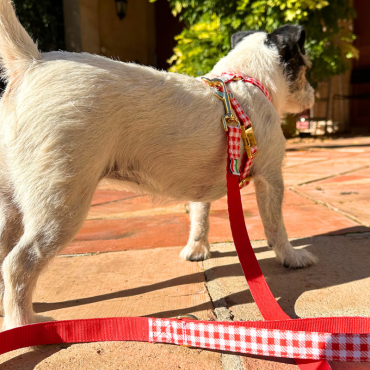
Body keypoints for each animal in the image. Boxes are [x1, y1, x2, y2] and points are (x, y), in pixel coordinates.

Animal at [0, 0, 316, 330]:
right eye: (306, 68)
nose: (313, 95)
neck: (244, 79)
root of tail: (30, 62)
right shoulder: (271, 177)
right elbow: (276, 225)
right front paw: (291, 256)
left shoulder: (204, 186)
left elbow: (200, 218)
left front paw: (197, 250)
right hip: (61, 203)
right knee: (18, 264)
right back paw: (24, 323)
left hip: (12, 200)